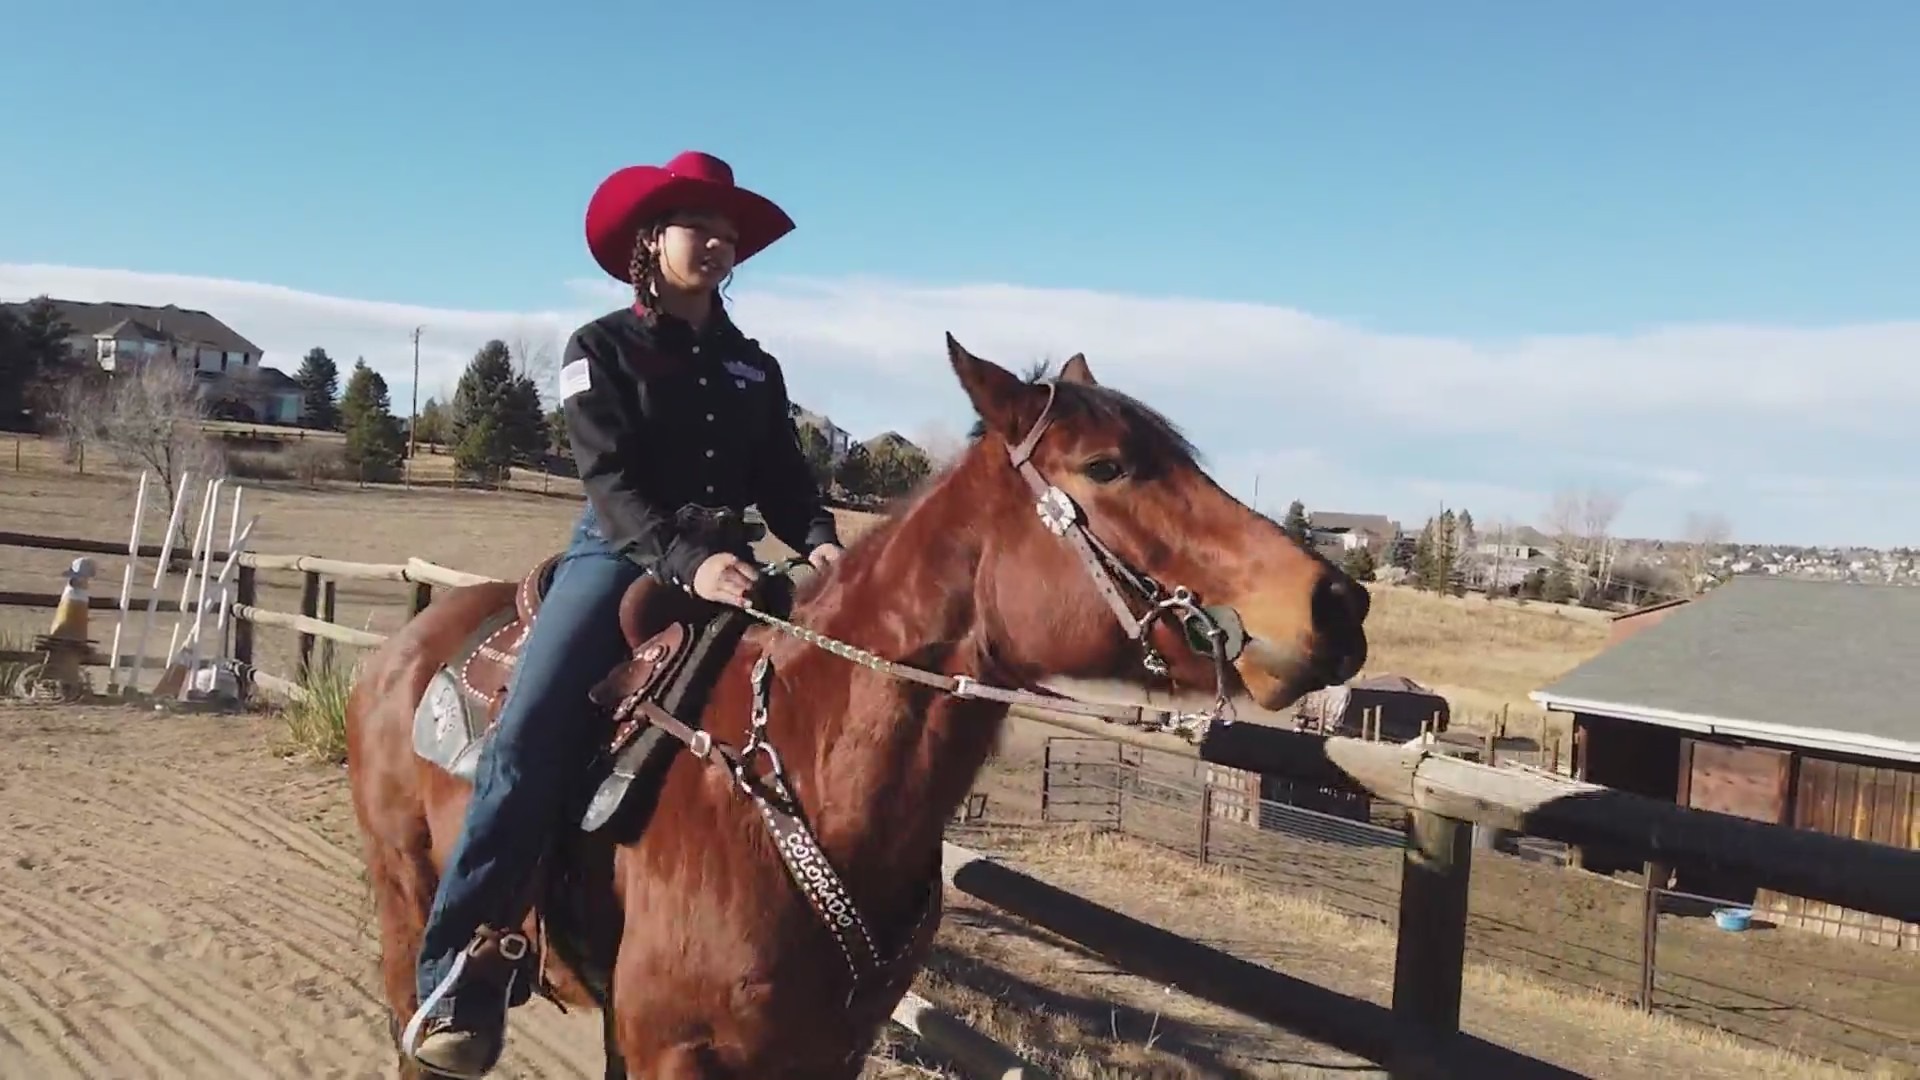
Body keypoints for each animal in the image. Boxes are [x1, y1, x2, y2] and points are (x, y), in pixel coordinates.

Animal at [345, 332, 1367, 1068]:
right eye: (1108, 466)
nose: (1337, 603)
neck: (795, 770)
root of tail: (399, 652)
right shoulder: (669, 1049)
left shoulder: (822, 1052)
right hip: (404, 909)